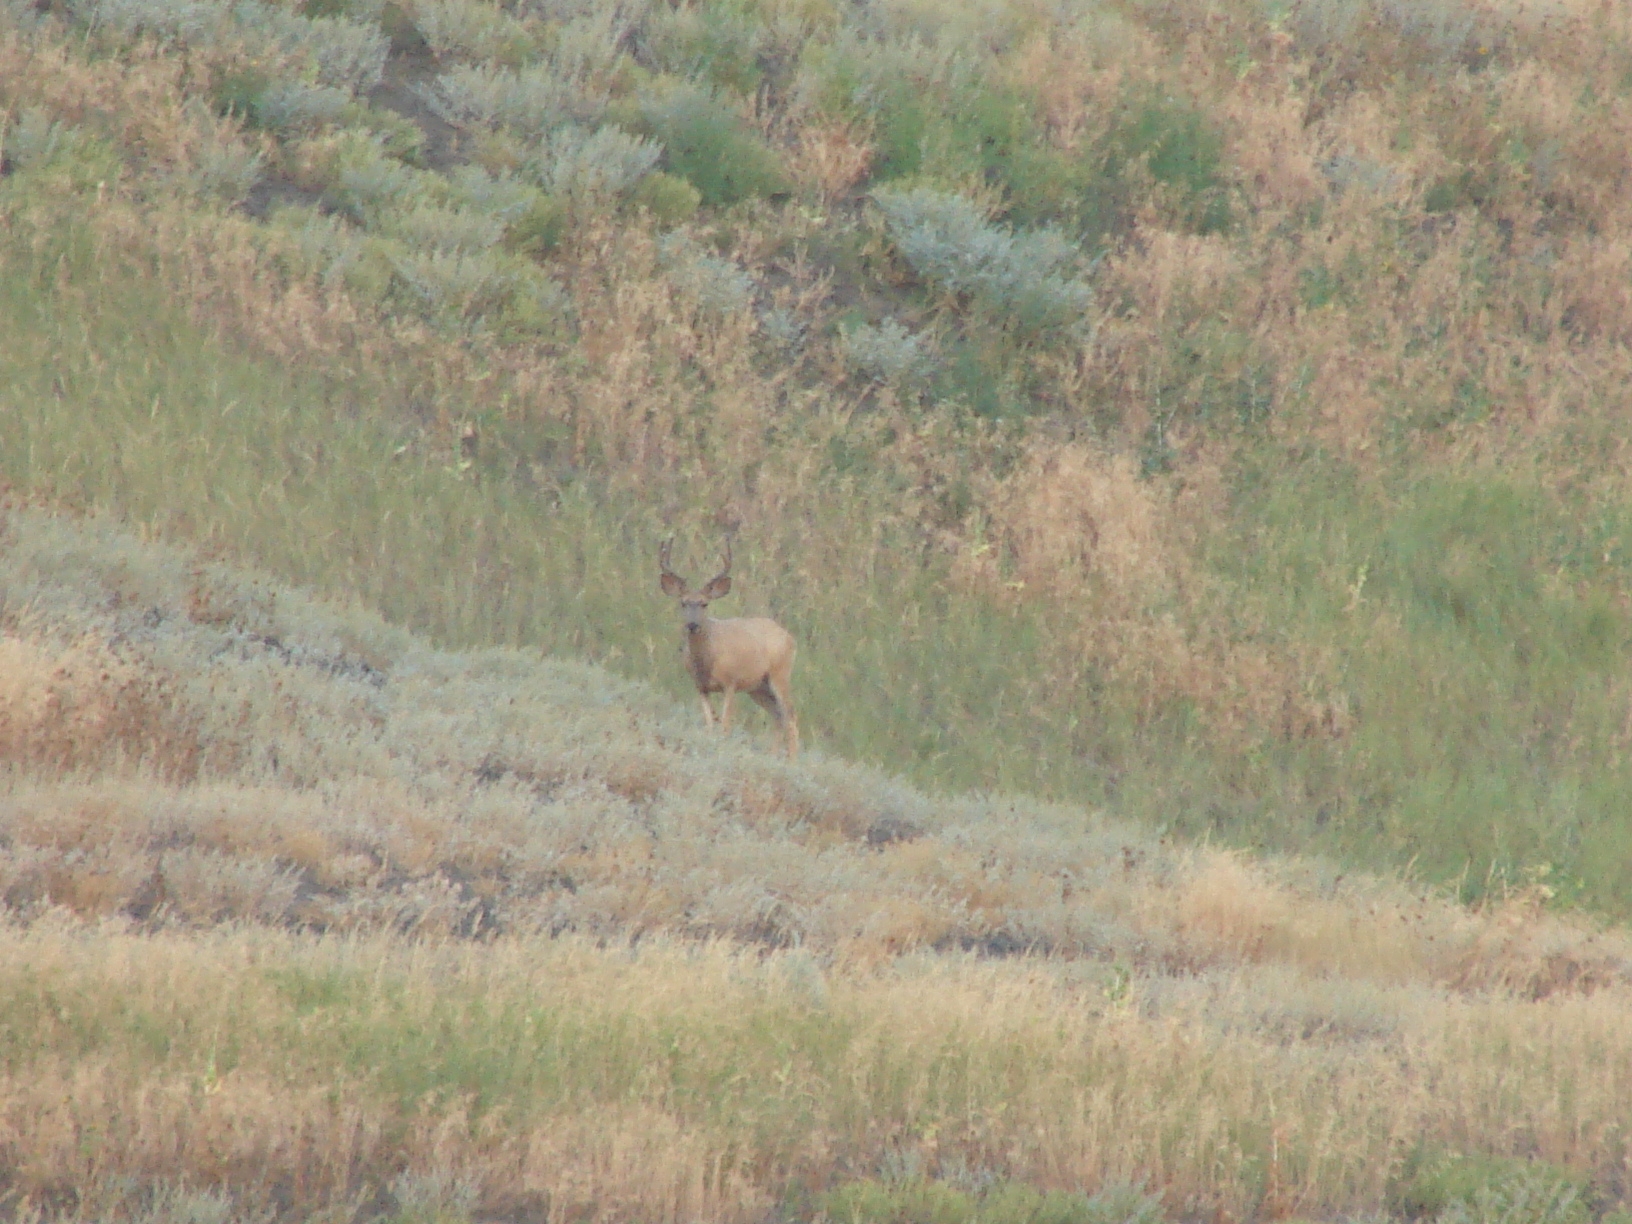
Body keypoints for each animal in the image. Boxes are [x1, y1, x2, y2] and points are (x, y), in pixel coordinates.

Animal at [656, 541, 796, 763]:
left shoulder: (731, 682)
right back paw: (773, 756)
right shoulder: (700, 687)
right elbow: (709, 724)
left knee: (790, 715)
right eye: (683, 603)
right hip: (758, 687)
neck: (707, 661)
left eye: (704, 603)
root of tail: (789, 637)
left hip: (780, 674)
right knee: (777, 715)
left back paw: (792, 761)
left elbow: (725, 725)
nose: (692, 625)